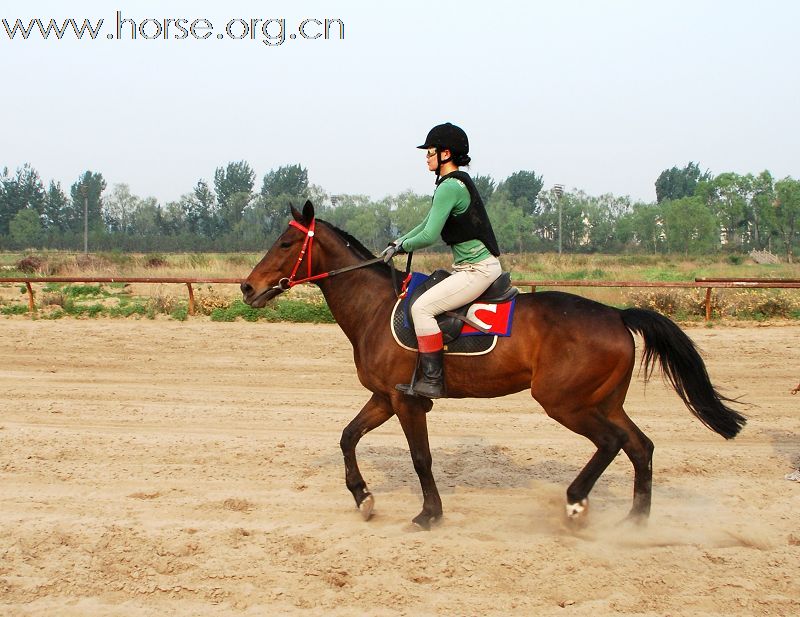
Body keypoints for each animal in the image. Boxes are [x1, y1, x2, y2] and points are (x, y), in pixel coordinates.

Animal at [241, 202, 748, 528]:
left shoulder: (408, 403)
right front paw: (363, 497)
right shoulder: (383, 398)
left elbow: (421, 458)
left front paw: (429, 514)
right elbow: (348, 437)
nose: (248, 288)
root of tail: (617, 314)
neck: (375, 306)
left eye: (286, 242)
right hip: (603, 401)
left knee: (611, 443)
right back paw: (635, 521)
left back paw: (576, 503)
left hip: (564, 403)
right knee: (640, 447)